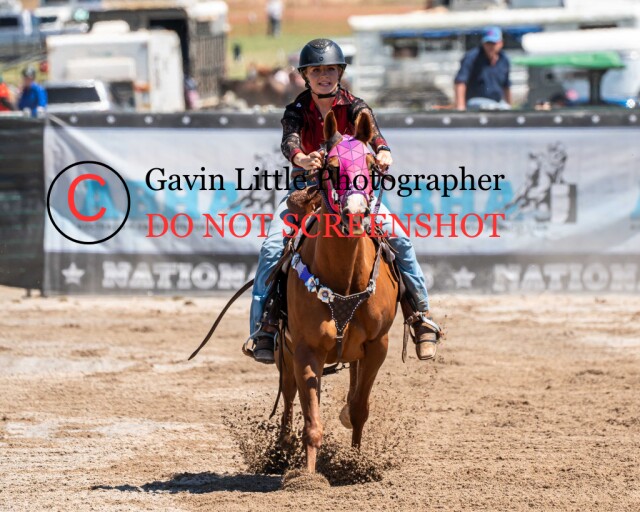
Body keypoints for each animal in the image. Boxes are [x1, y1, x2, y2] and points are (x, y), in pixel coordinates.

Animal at [275, 110, 398, 473]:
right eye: (329, 167)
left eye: (370, 166)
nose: (355, 213)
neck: (344, 279)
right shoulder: (306, 349)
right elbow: (312, 424)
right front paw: (307, 476)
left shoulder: (378, 346)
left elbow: (359, 408)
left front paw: (356, 464)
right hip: (283, 351)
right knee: (288, 395)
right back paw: (281, 449)